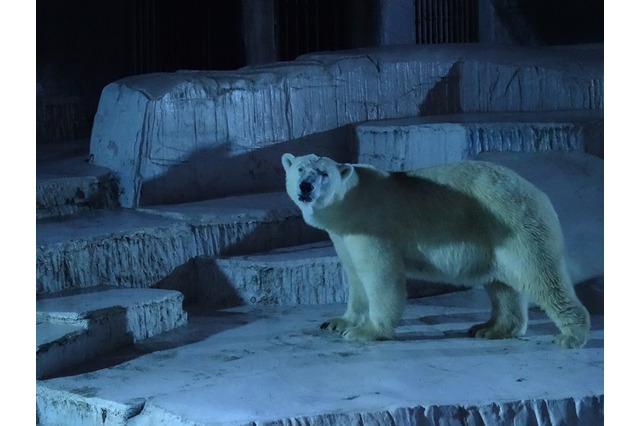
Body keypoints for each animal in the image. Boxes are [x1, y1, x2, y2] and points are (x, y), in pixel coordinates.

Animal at [282, 153, 592, 350]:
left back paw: (571, 335)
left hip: (513, 223)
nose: (305, 186)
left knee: (539, 274)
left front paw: (366, 332)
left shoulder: (373, 225)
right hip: (494, 238)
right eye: (299, 169)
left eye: (323, 173)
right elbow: (355, 277)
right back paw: (490, 329)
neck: (351, 200)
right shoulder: (343, 234)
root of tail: (539, 193)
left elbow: (380, 275)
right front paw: (337, 322)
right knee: (503, 285)